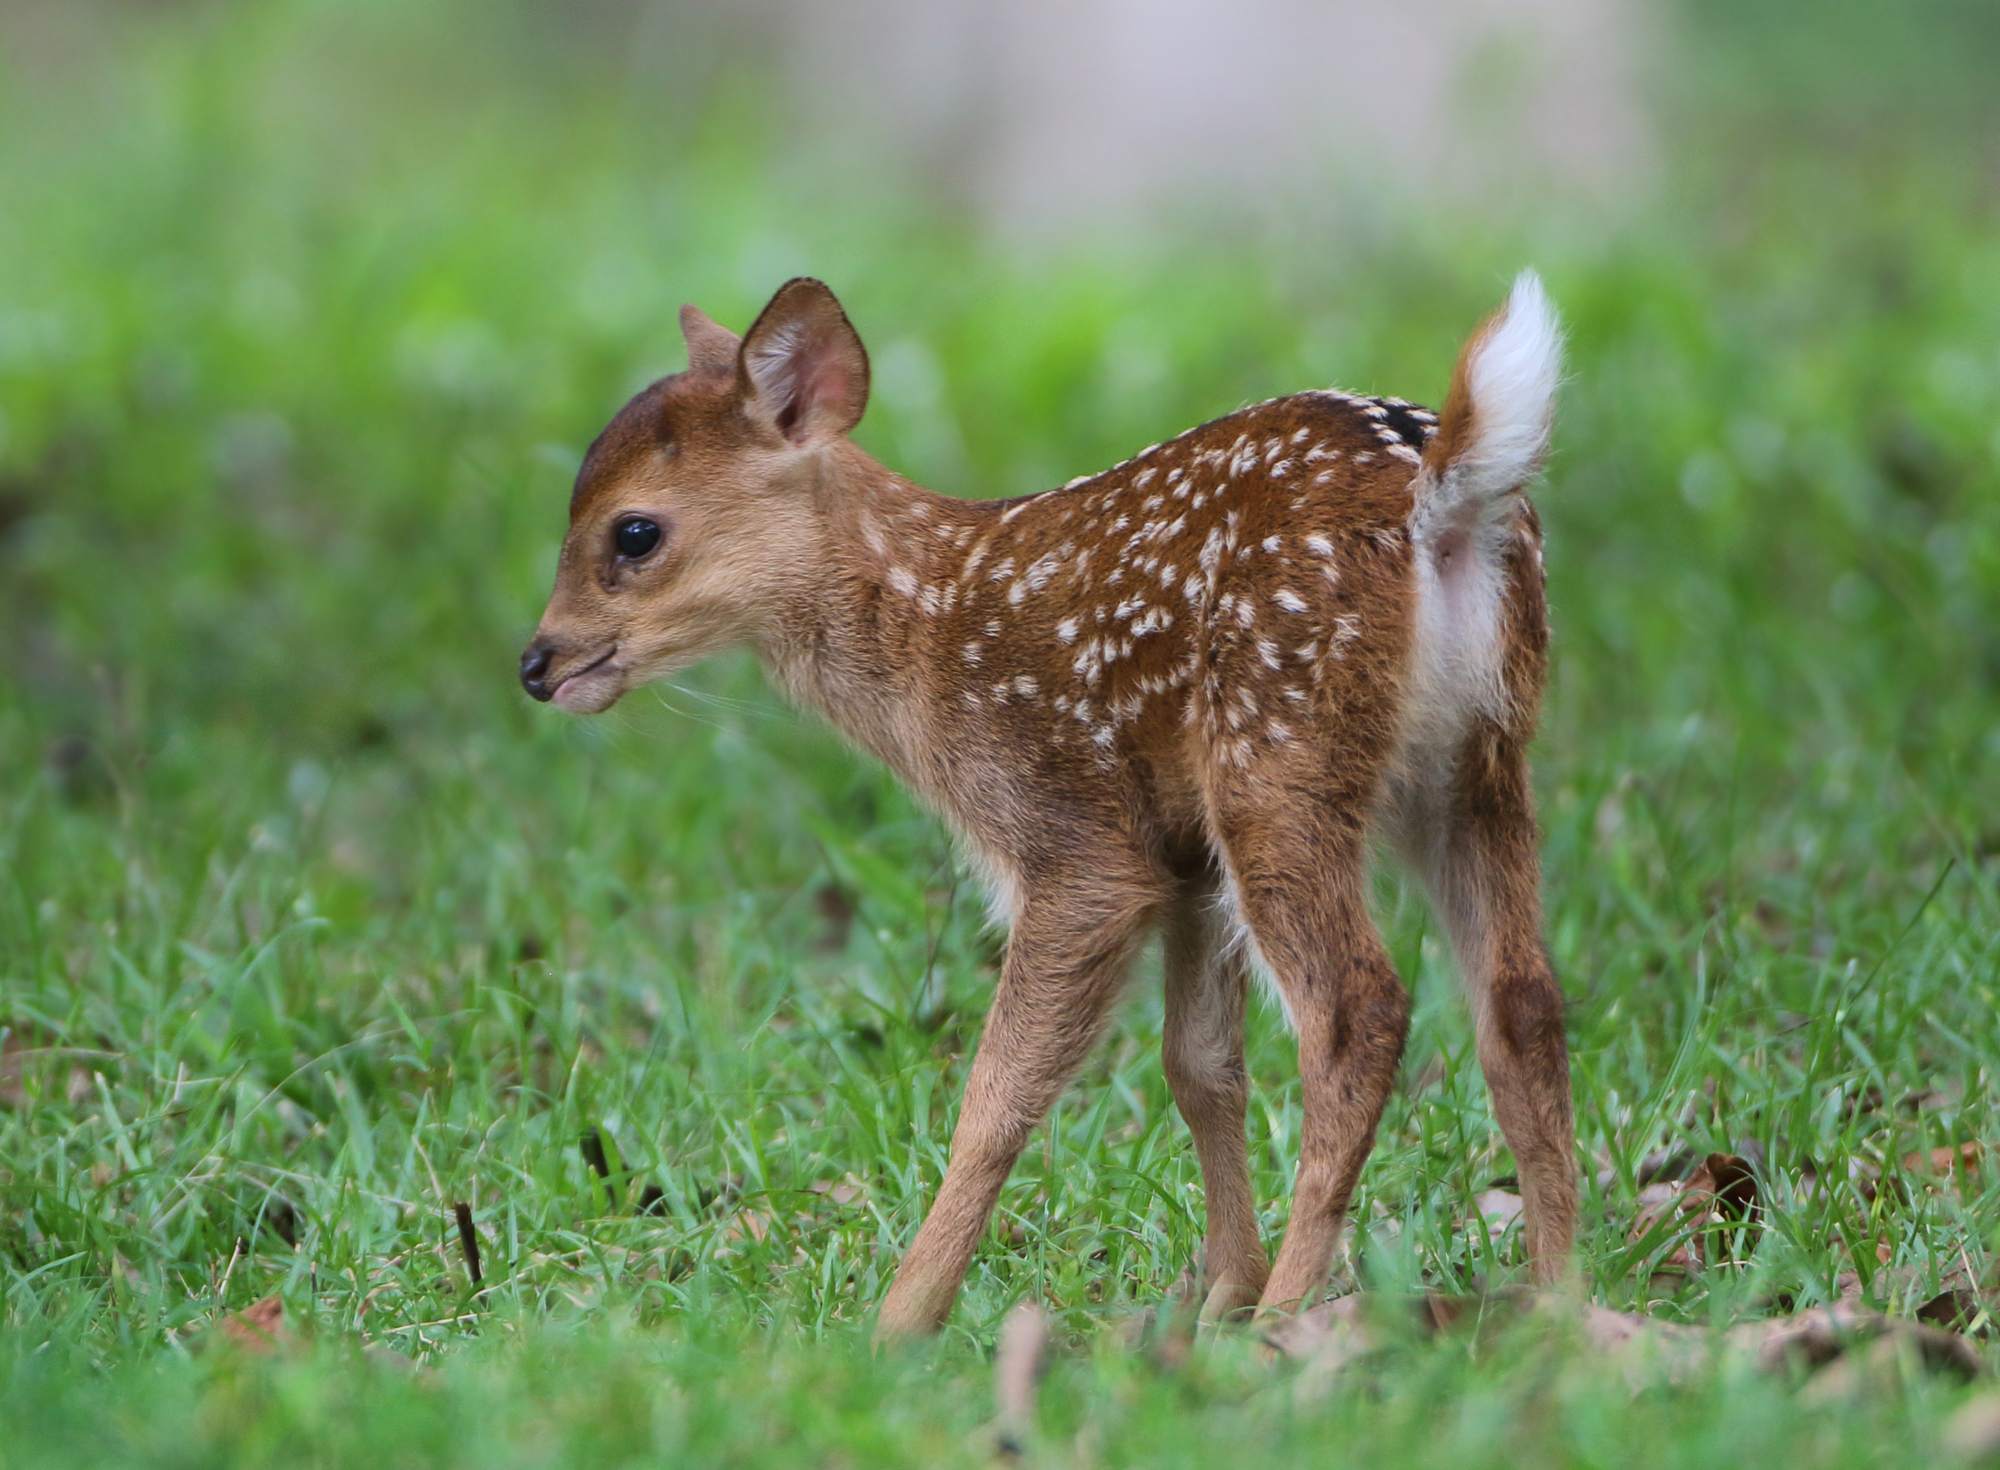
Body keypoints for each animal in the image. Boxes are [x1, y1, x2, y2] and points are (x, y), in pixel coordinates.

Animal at [524, 270, 1584, 1336]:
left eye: (634, 531)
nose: (538, 664)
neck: (922, 635)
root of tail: (1445, 491)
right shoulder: (1182, 856)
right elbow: (1201, 1069)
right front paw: (1215, 1296)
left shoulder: (1076, 842)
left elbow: (996, 1098)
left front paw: (900, 1322)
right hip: (1477, 764)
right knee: (1522, 1003)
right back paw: (1554, 1298)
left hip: (1278, 752)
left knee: (1358, 1011)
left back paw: (1291, 1318)